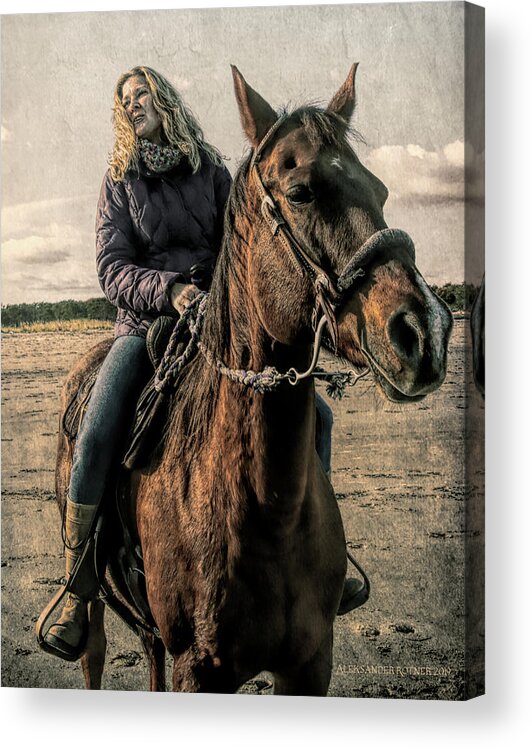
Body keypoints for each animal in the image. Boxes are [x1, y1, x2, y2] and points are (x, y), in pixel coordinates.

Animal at [51, 65, 454, 696]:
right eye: (301, 192)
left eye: (382, 191)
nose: (426, 329)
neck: (266, 510)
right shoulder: (199, 669)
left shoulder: (309, 665)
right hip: (95, 606)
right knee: (91, 649)